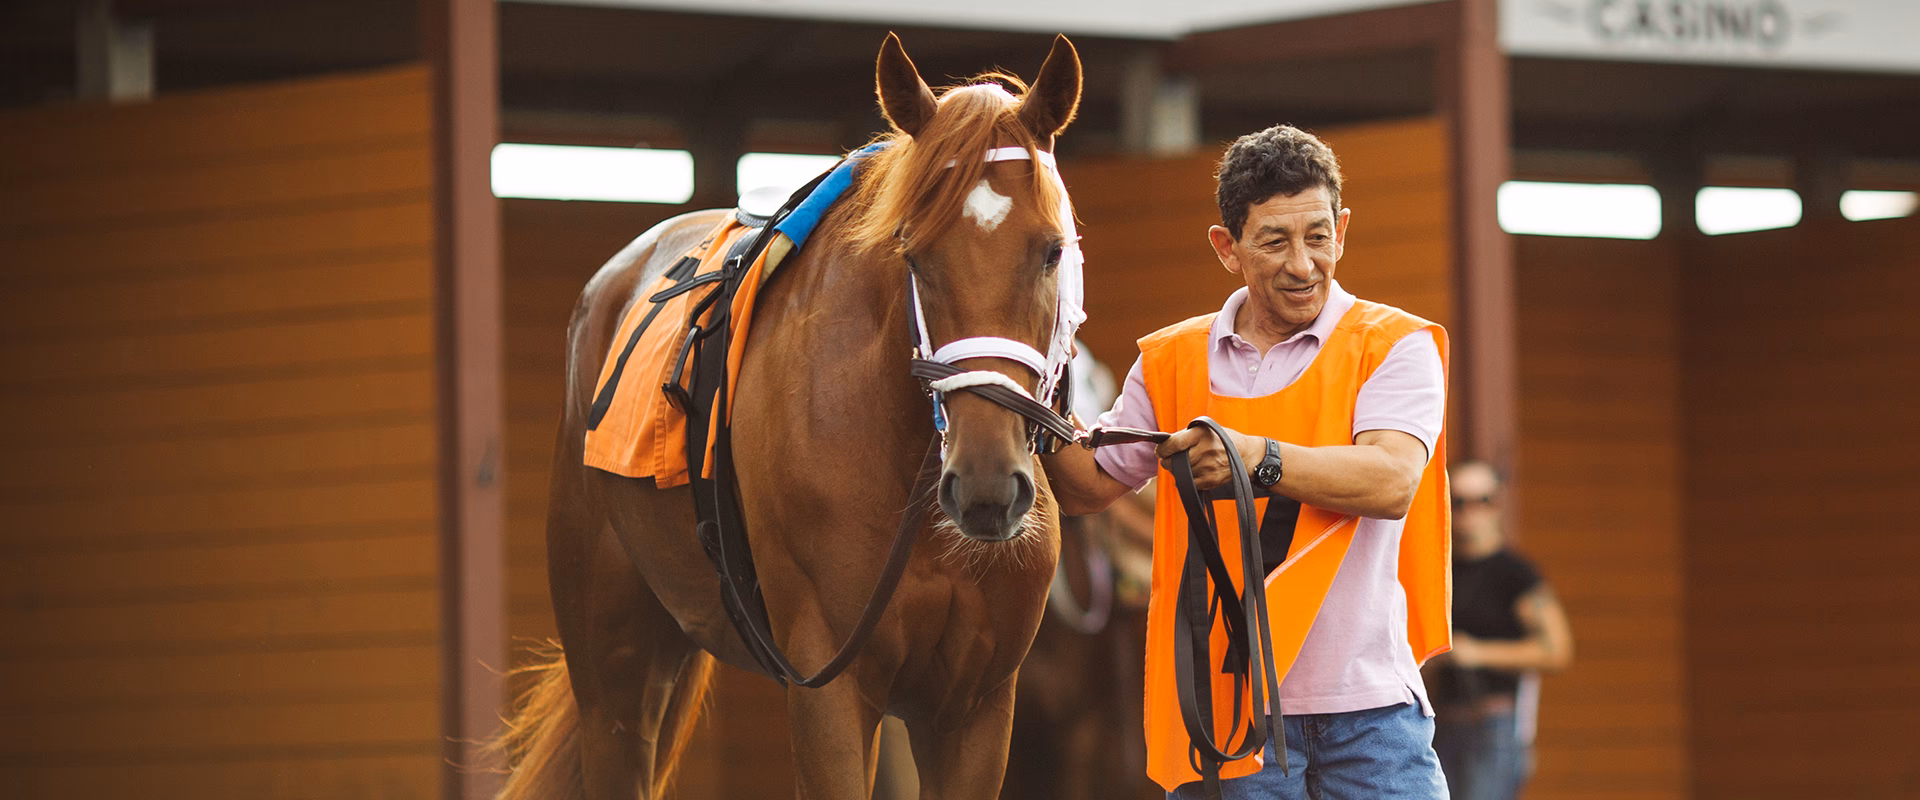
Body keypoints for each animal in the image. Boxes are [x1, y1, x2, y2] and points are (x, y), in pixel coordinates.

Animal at [494, 32, 1086, 800]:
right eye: (913, 252)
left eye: (1051, 250)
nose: (986, 485)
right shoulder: (829, 687)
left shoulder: (974, 708)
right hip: (614, 677)